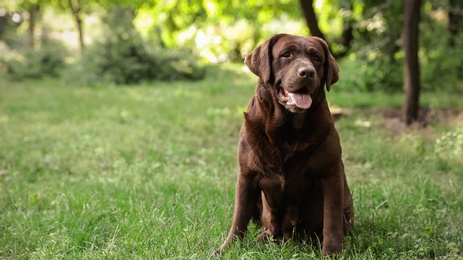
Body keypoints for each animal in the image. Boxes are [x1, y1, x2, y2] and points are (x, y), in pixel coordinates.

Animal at [218, 34, 356, 256]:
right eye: (286, 54)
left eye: (316, 58)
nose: (307, 72)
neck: (286, 130)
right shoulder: (246, 175)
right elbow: (238, 218)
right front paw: (227, 249)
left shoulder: (330, 174)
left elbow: (331, 220)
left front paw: (332, 252)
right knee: (267, 226)